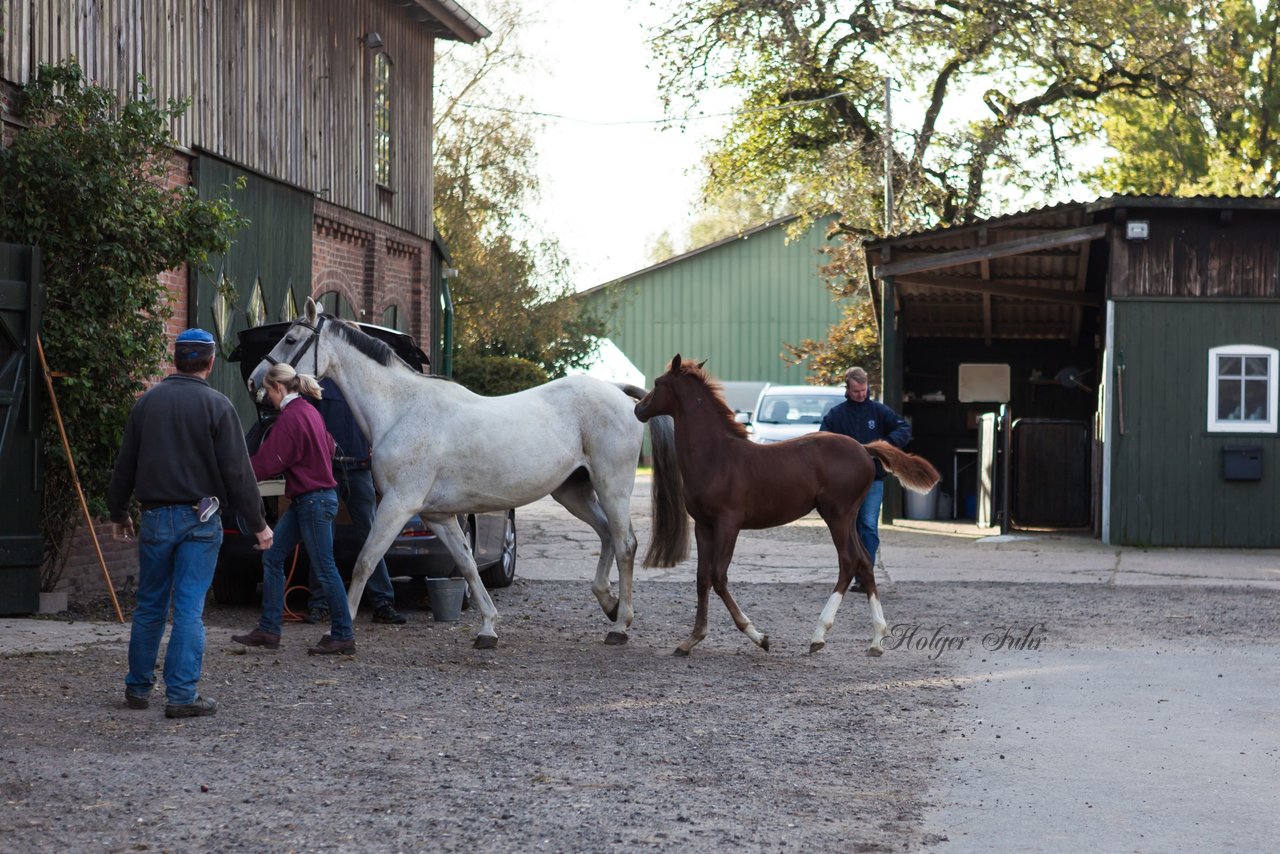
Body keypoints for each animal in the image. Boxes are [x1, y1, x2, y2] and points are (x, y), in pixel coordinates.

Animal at [249, 300, 691, 647]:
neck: (401, 409)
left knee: (626, 543)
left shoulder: (397, 506)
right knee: (606, 536)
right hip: (573, 491)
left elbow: (364, 561)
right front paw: (488, 629)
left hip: (611, 485)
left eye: (291, 340)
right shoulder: (438, 516)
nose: (256, 381)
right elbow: (465, 564)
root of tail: (619, 392)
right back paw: (609, 603)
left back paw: (620, 625)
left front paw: (341, 635)